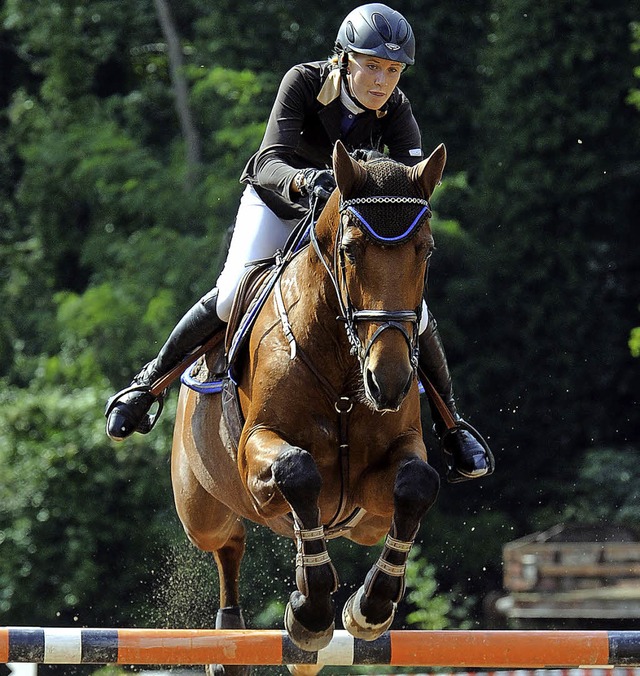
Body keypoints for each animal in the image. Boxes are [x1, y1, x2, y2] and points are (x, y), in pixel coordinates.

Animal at [172, 140, 448, 672]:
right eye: (350, 250)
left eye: (425, 250)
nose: (388, 382)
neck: (342, 370)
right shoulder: (256, 452)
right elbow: (298, 471)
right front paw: (312, 614)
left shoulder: (384, 472)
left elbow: (417, 483)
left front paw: (370, 606)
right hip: (202, 508)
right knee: (228, 543)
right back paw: (231, 636)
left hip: (363, 524)